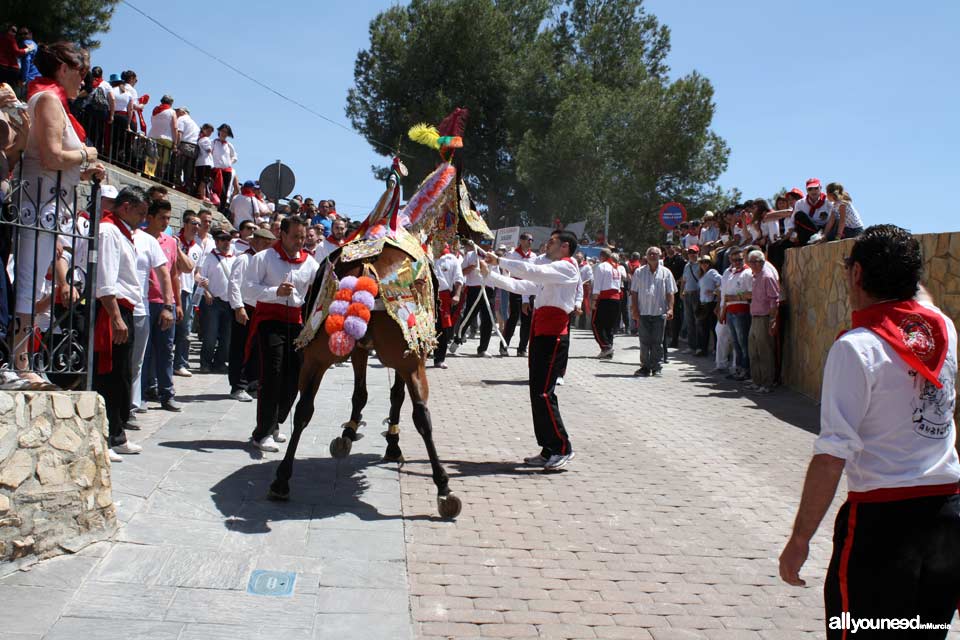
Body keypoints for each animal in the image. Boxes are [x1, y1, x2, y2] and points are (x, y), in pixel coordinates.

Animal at [268, 111, 492, 520]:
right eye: (468, 193)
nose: (483, 235)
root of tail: (366, 270)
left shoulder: (359, 348)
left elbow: (360, 394)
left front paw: (348, 433)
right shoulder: (402, 352)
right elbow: (395, 398)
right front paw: (388, 443)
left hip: (318, 353)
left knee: (303, 408)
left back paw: (281, 479)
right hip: (407, 358)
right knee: (422, 414)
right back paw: (443, 489)